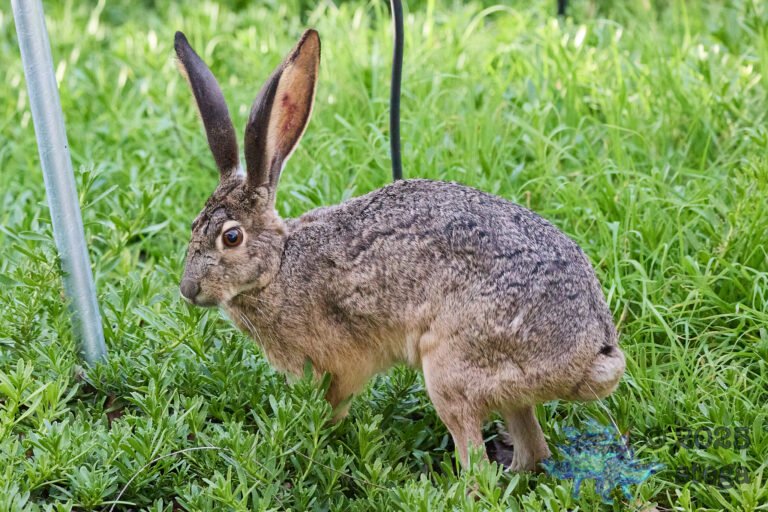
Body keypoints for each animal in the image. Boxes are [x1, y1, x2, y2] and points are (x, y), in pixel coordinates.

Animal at [174, 29, 625, 471]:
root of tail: (594, 351)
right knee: (534, 451)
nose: (188, 290)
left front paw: (318, 440)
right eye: (194, 226)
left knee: (477, 466)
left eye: (232, 237)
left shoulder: (335, 366)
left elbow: (331, 407)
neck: (278, 266)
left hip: (451, 371)